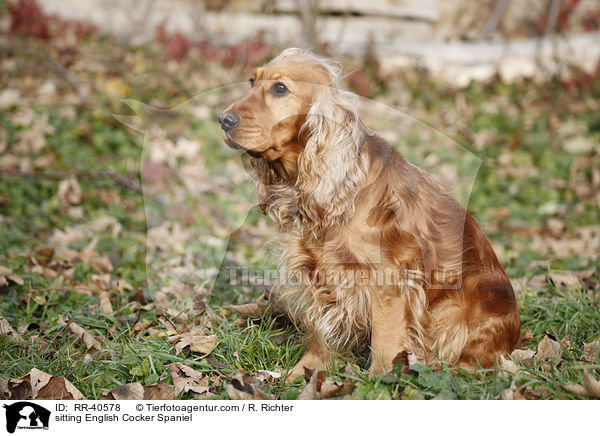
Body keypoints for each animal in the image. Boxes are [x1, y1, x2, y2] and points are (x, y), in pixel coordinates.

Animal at [219, 47, 520, 378]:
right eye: (251, 81)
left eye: (280, 88)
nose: (223, 119)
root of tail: (514, 339)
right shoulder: (317, 271)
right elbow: (319, 331)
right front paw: (307, 372)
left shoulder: (388, 281)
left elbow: (385, 342)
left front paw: (379, 381)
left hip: (453, 309)